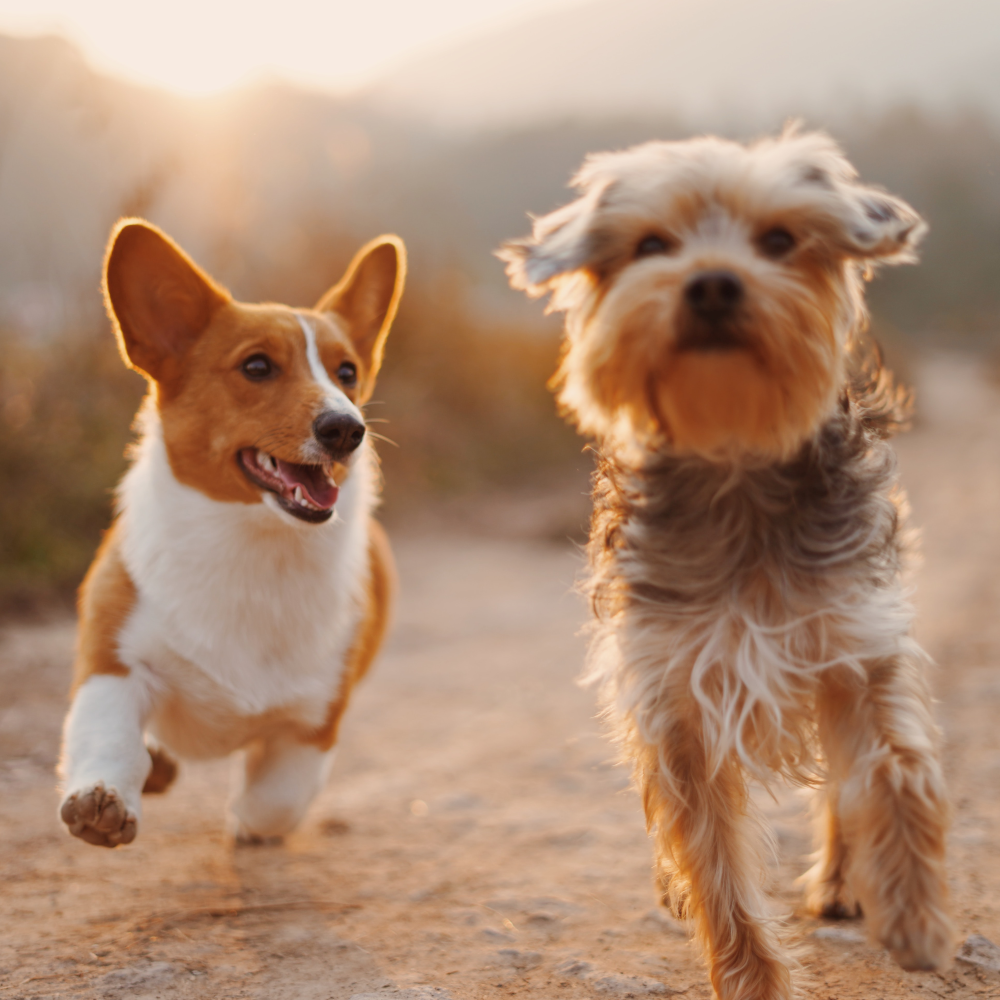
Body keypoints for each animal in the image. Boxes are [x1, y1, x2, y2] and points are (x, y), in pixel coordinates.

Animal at [500, 129, 952, 996]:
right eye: (651, 245)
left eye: (779, 240)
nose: (712, 282)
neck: (736, 458)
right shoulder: (673, 691)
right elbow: (712, 858)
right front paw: (752, 978)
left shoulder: (855, 641)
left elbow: (896, 767)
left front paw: (913, 911)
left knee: (841, 787)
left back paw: (844, 881)